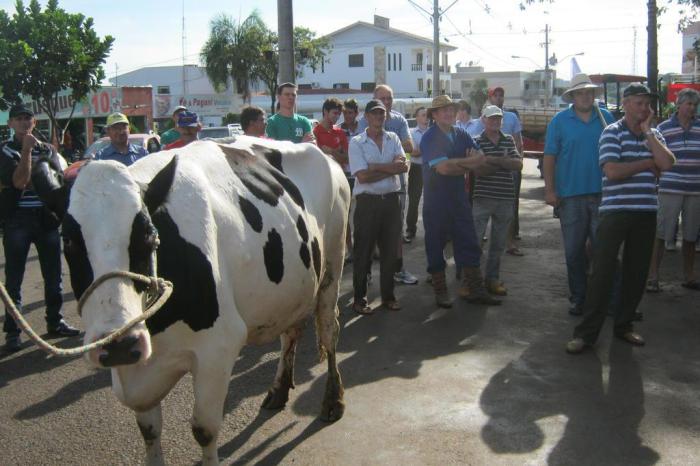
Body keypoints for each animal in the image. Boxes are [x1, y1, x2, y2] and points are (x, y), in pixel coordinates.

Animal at [41, 138, 352, 466]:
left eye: (149, 236)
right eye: (68, 241)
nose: (120, 344)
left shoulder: (218, 347)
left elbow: (204, 429)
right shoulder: (138, 374)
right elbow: (149, 430)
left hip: (333, 263)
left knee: (329, 331)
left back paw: (333, 400)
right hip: (292, 289)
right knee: (290, 333)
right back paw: (278, 391)